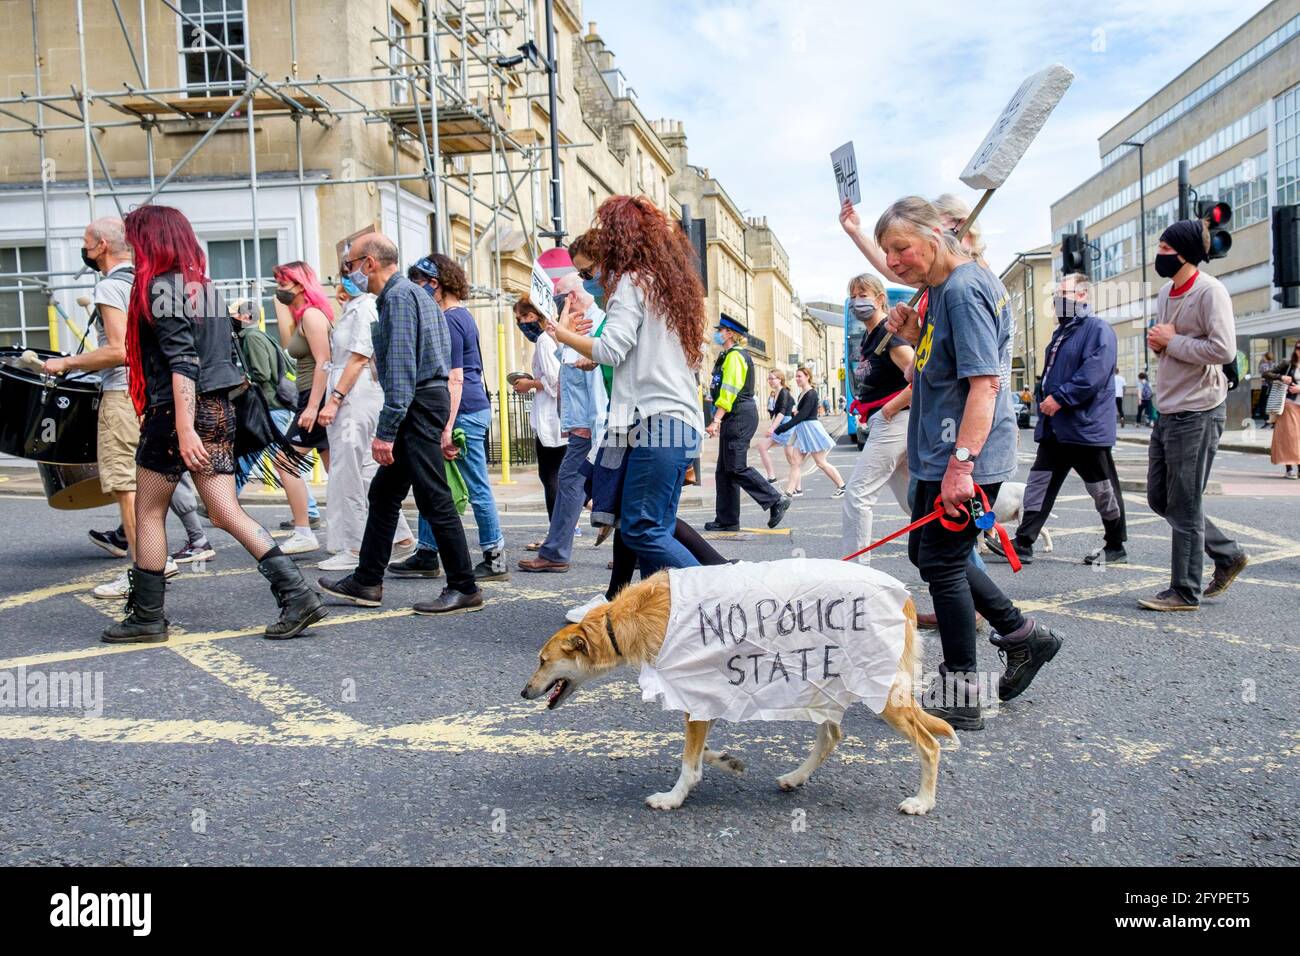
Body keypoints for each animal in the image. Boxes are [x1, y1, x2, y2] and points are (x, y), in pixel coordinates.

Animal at [522, 561, 961, 816]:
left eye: (542, 661)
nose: (524, 692)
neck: (636, 615)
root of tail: (904, 596)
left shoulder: (697, 696)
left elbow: (688, 761)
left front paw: (673, 797)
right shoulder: (707, 695)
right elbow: (698, 753)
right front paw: (725, 761)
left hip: (882, 695)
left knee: (929, 745)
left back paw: (923, 801)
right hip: (825, 682)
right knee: (832, 735)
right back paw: (796, 777)